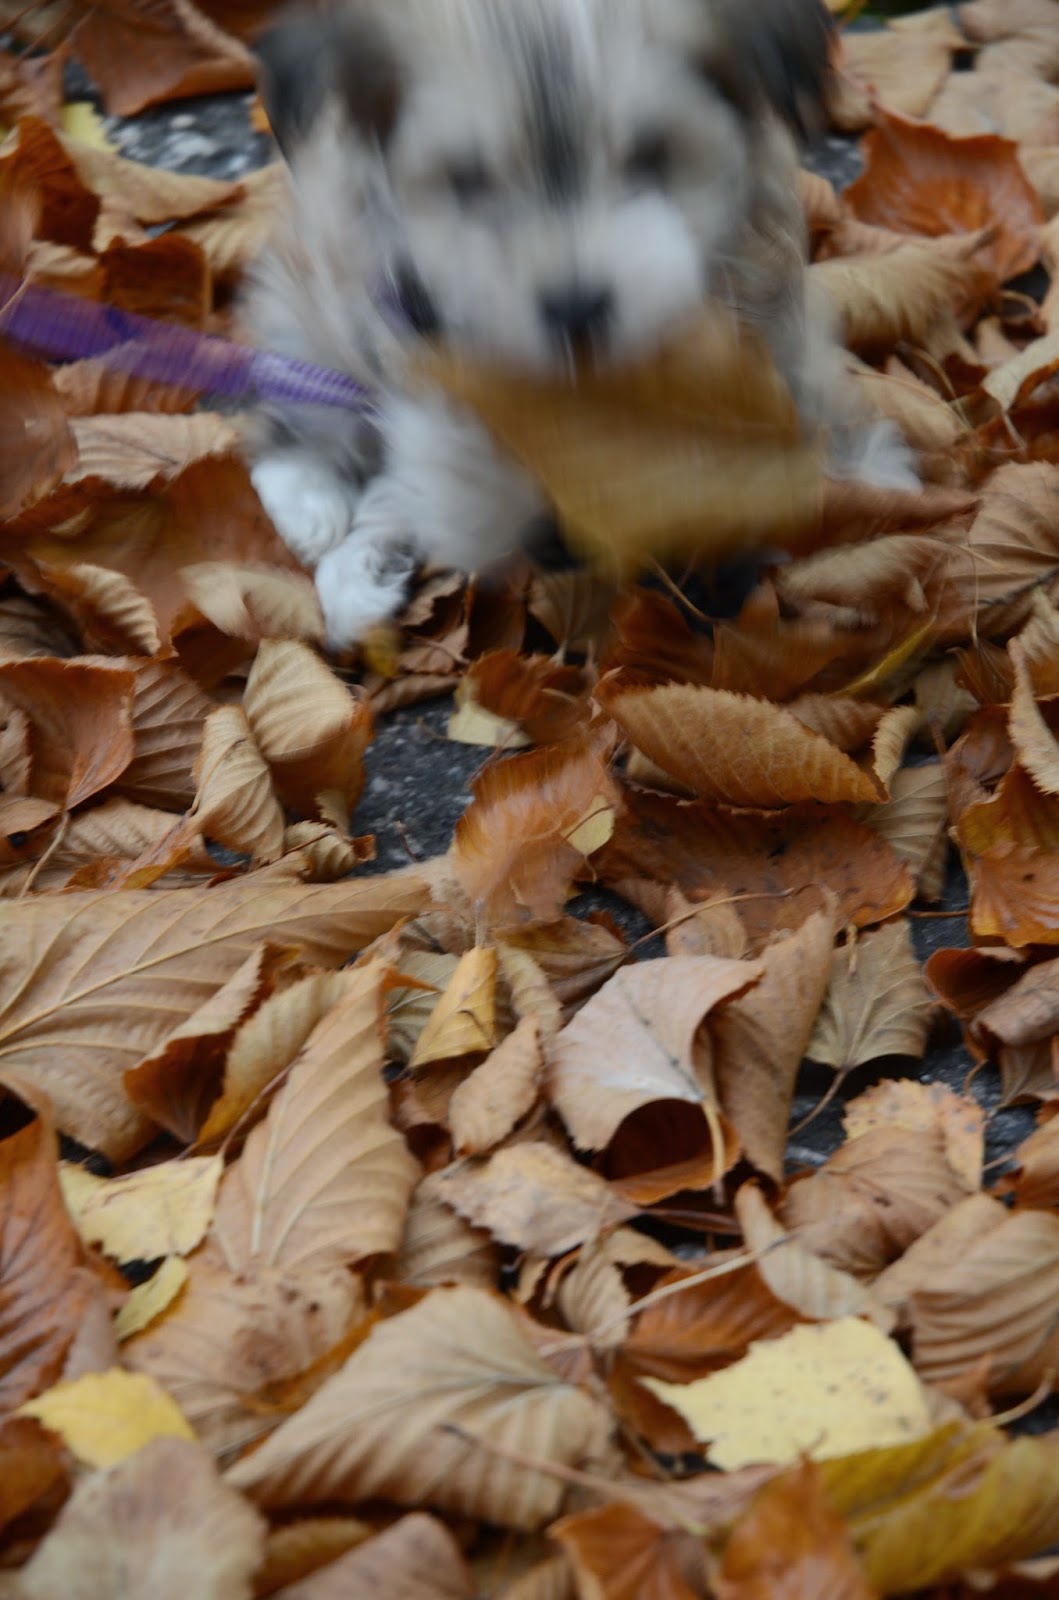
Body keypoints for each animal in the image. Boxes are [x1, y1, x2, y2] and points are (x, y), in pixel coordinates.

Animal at [242, 0, 917, 649]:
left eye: (652, 156)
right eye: (467, 180)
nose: (574, 308)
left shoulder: (766, 303)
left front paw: (870, 496)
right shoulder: (408, 309)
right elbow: (456, 447)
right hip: (312, 308)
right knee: (299, 414)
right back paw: (320, 519)